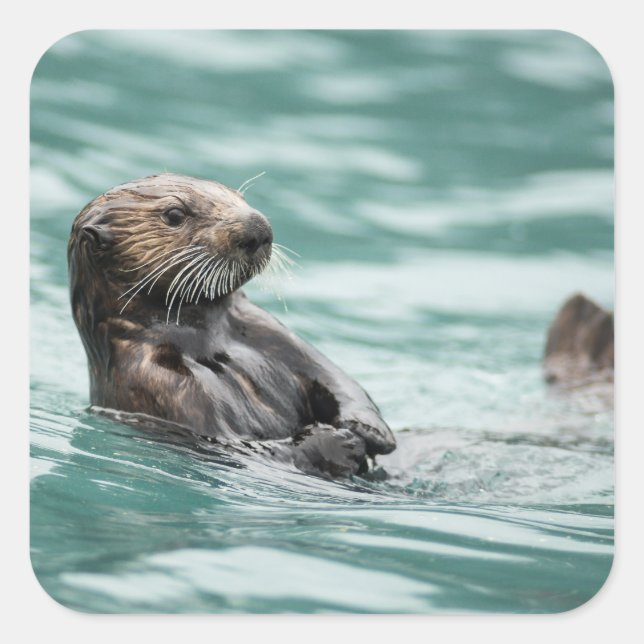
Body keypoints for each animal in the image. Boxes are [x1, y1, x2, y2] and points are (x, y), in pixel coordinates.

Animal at [68, 173, 395, 479]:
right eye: (174, 214)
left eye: (238, 197)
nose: (257, 227)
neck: (207, 340)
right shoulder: (157, 383)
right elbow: (238, 446)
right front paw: (339, 442)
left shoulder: (267, 330)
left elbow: (335, 378)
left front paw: (369, 429)